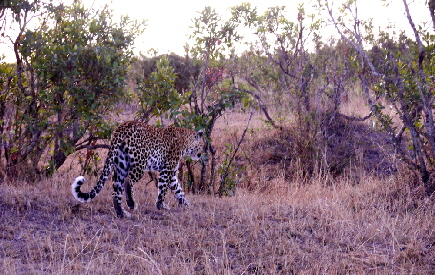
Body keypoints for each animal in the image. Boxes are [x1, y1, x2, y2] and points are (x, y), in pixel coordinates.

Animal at [72, 122, 204, 219]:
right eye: (202, 145)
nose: (201, 154)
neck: (186, 142)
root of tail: (122, 127)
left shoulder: (171, 173)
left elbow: (178, 190)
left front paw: (186, 204)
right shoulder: (167, 170)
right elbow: (163, 189)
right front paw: (161, 206)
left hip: (120, 164)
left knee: (116, 192)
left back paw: (122, 213)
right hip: (140, 163)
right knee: (128, 181)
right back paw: (131, 203)